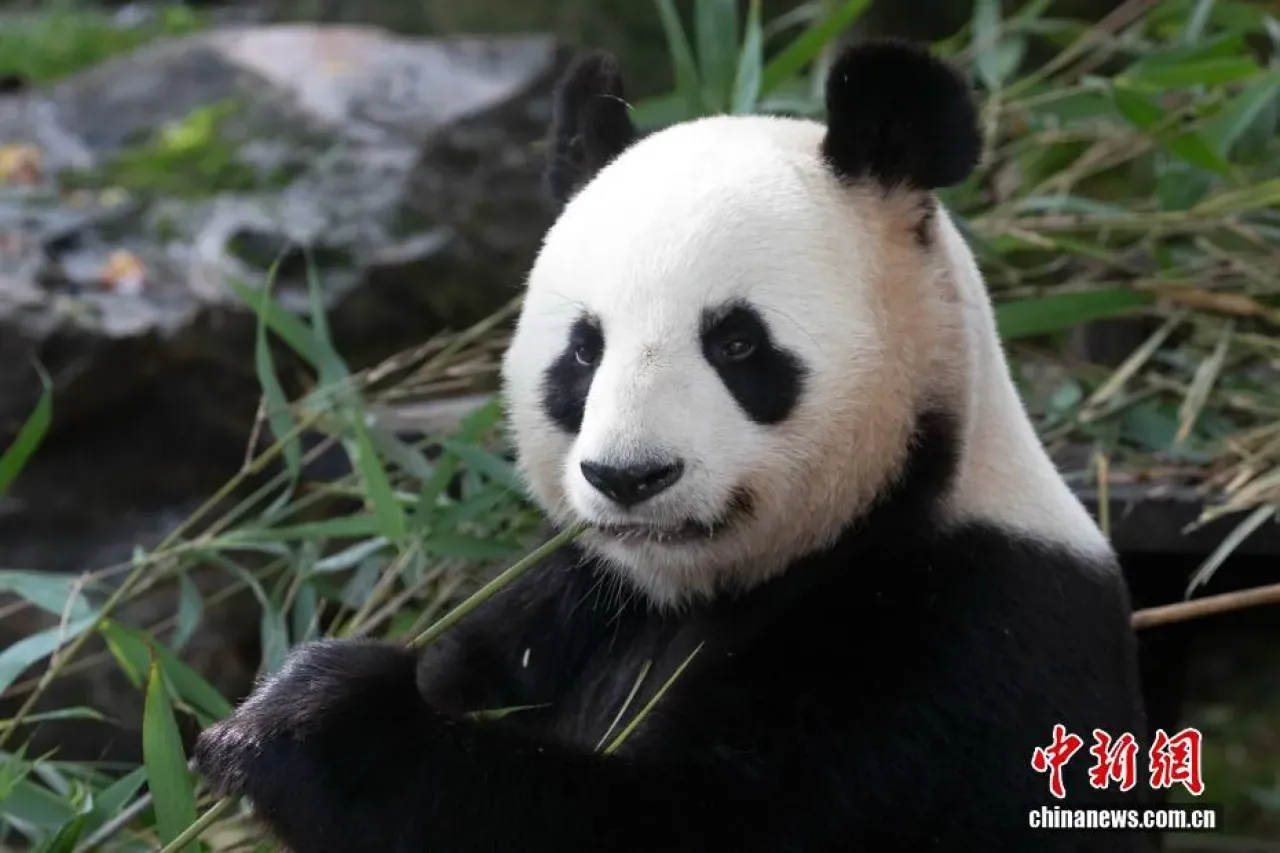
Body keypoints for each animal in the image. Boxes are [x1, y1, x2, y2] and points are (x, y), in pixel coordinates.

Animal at [194, 40, 1151, 853]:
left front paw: (312, 715)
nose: (630, 477)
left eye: (737, 343)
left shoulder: (953, 646)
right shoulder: (575, 596)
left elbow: (689, 826)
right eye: (584, 349)